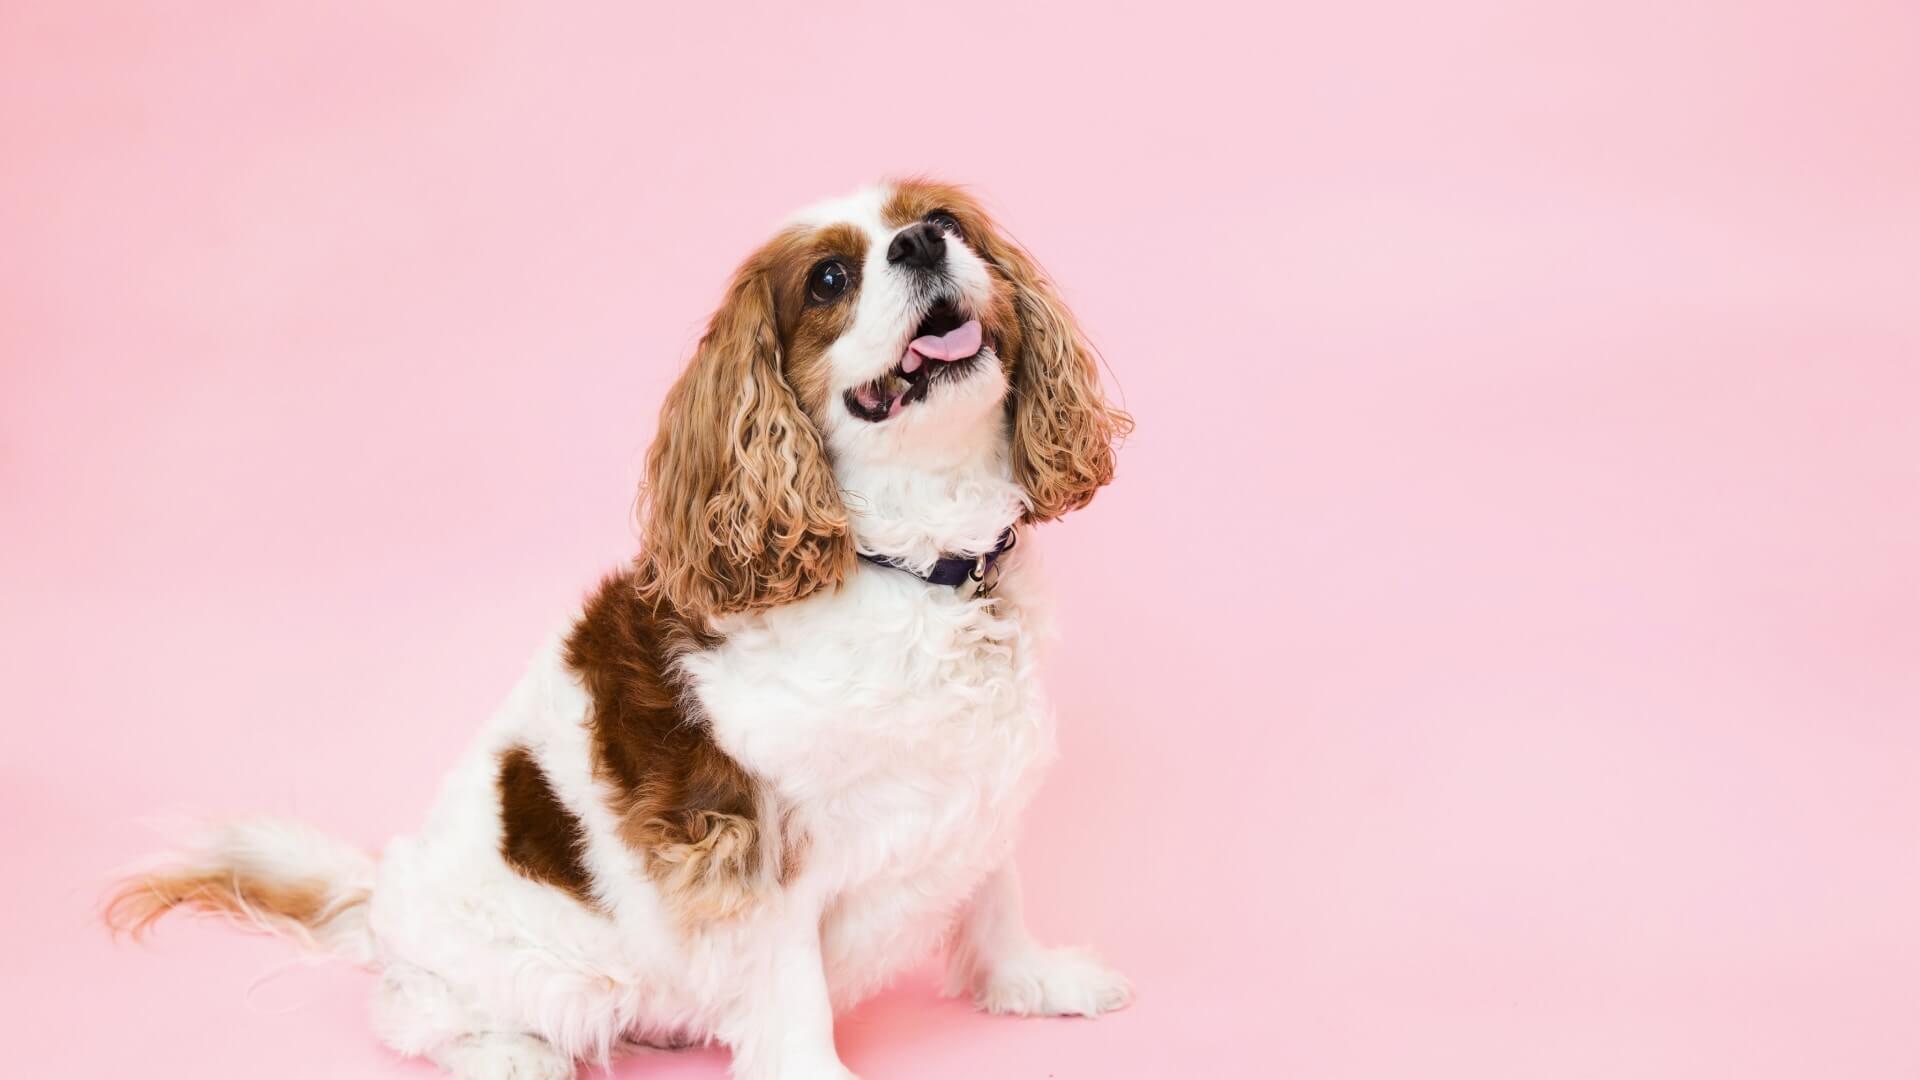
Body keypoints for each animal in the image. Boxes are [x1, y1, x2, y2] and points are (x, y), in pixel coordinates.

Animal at [107, 178, 1133, 1080]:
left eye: (945, 221)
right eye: (829, 279)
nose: (920, 243)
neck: (918, 565)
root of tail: (383, 898)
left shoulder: (978, 781)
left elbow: (995, 900)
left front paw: (1034, 983)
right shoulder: (744, 844)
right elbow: (790, 990)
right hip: (545, 973)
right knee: (406, 1009)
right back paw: (511, 1054)